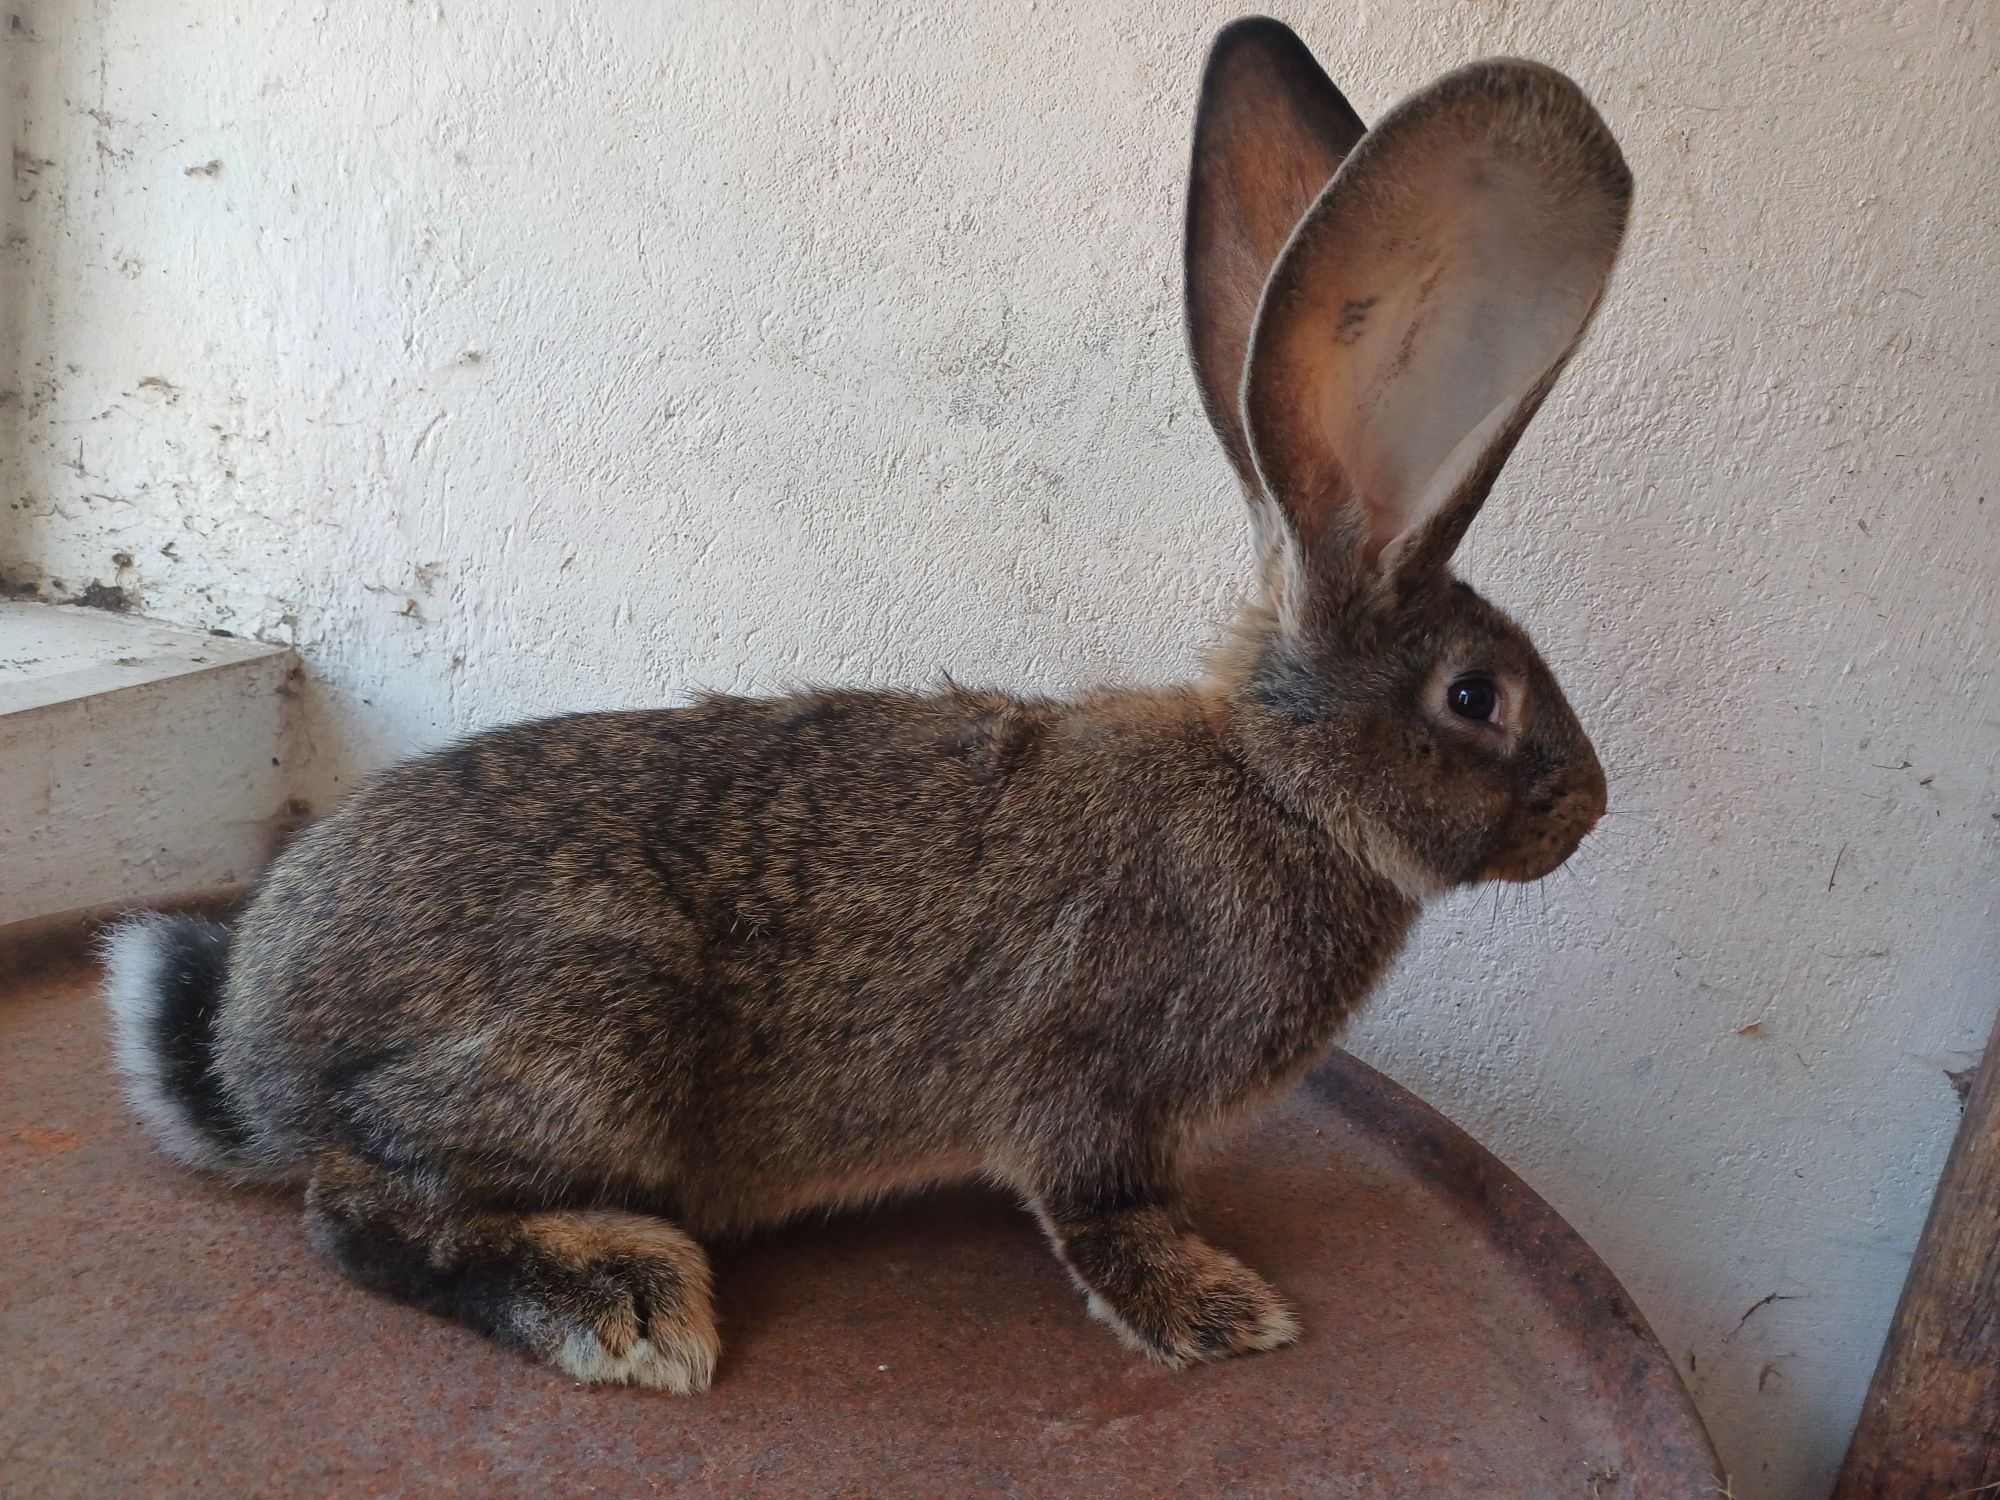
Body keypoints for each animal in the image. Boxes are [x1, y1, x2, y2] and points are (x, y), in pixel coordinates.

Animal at [101, 17, 1624, 1400]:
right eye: (1475, 697)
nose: (1589, 810)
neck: (1280, 789)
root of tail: (247, 1050)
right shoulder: (1097, 1089)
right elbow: (1101, 1206)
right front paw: (1208, 1307)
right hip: (591, 1032)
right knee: (359, 1207)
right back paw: (619, 1300)